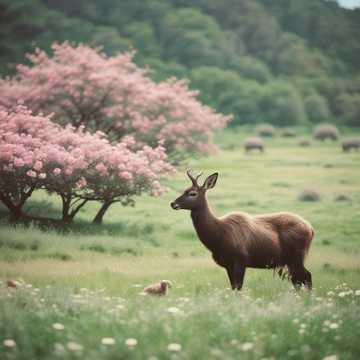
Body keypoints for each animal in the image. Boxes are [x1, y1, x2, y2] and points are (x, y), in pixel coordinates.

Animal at [170, 170, 314, 292]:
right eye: (184, 190)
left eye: (192, 193)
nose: (172, 203)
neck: (219, 235)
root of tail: (311, 229)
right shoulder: (228, 264)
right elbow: (233, 287)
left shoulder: (241, 259)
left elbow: (238, 288)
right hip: (291, 260)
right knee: (299, 280)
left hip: (296, 256)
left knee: (306, 277)